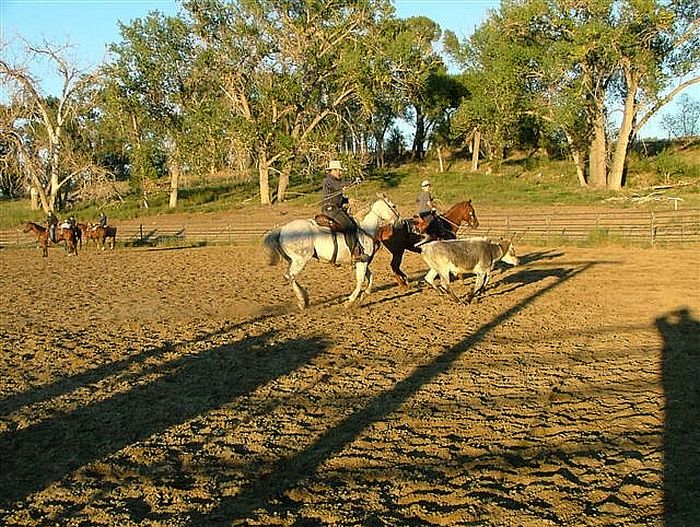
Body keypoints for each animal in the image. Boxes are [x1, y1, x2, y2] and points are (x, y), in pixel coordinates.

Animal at [264, 194, 400, 310]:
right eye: (393, 206)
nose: (399, 221)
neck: (365, 229)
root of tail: (282, 229)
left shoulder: (362, 262)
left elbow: (370, 277)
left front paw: (364, 295)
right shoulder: (362, 262)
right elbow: (360, 281)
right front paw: (349, 302)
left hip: (292, 260)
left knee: (289, 276)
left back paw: (304, 298)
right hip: (300, 260)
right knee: (290, 276)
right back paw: (302, 301)